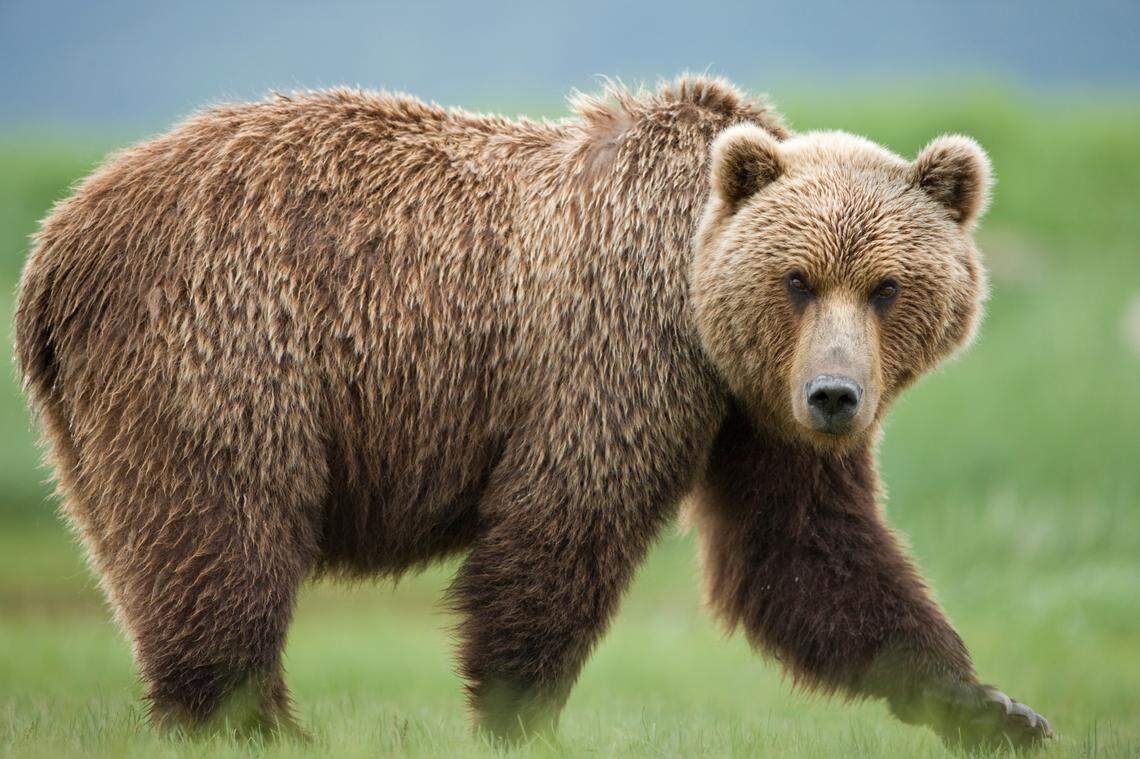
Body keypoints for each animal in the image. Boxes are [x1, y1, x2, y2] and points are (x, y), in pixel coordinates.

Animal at [14, 76, 1052, 748]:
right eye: (798, 279)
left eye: (887, 286)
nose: (835, 396)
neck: (696, 310)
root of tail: (57, 241)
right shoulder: (616, 351)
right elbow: (563, 521)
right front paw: (521, 713)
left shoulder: (754, 411)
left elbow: (804, 547)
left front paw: (991, 706)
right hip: (224, 343)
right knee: (225, 533)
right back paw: (255, 723)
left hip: (94, 423)